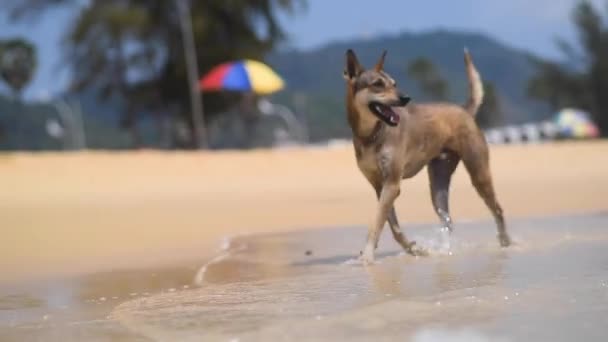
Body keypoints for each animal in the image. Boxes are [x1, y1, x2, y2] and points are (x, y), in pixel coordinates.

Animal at [344, 48, 510, 264]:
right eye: (377, 84)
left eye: (394, 83)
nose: (406, 98)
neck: (371, 135)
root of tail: (464, 109)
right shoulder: (380, 186)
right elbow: (392, 226)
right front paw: (414, 249)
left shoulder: (392, 184)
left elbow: (377, 223)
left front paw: (367, 257)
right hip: (438, 186)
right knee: (447, 220)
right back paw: (445, 250)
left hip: (479, 174)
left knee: (497, 209)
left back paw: (506, 243)